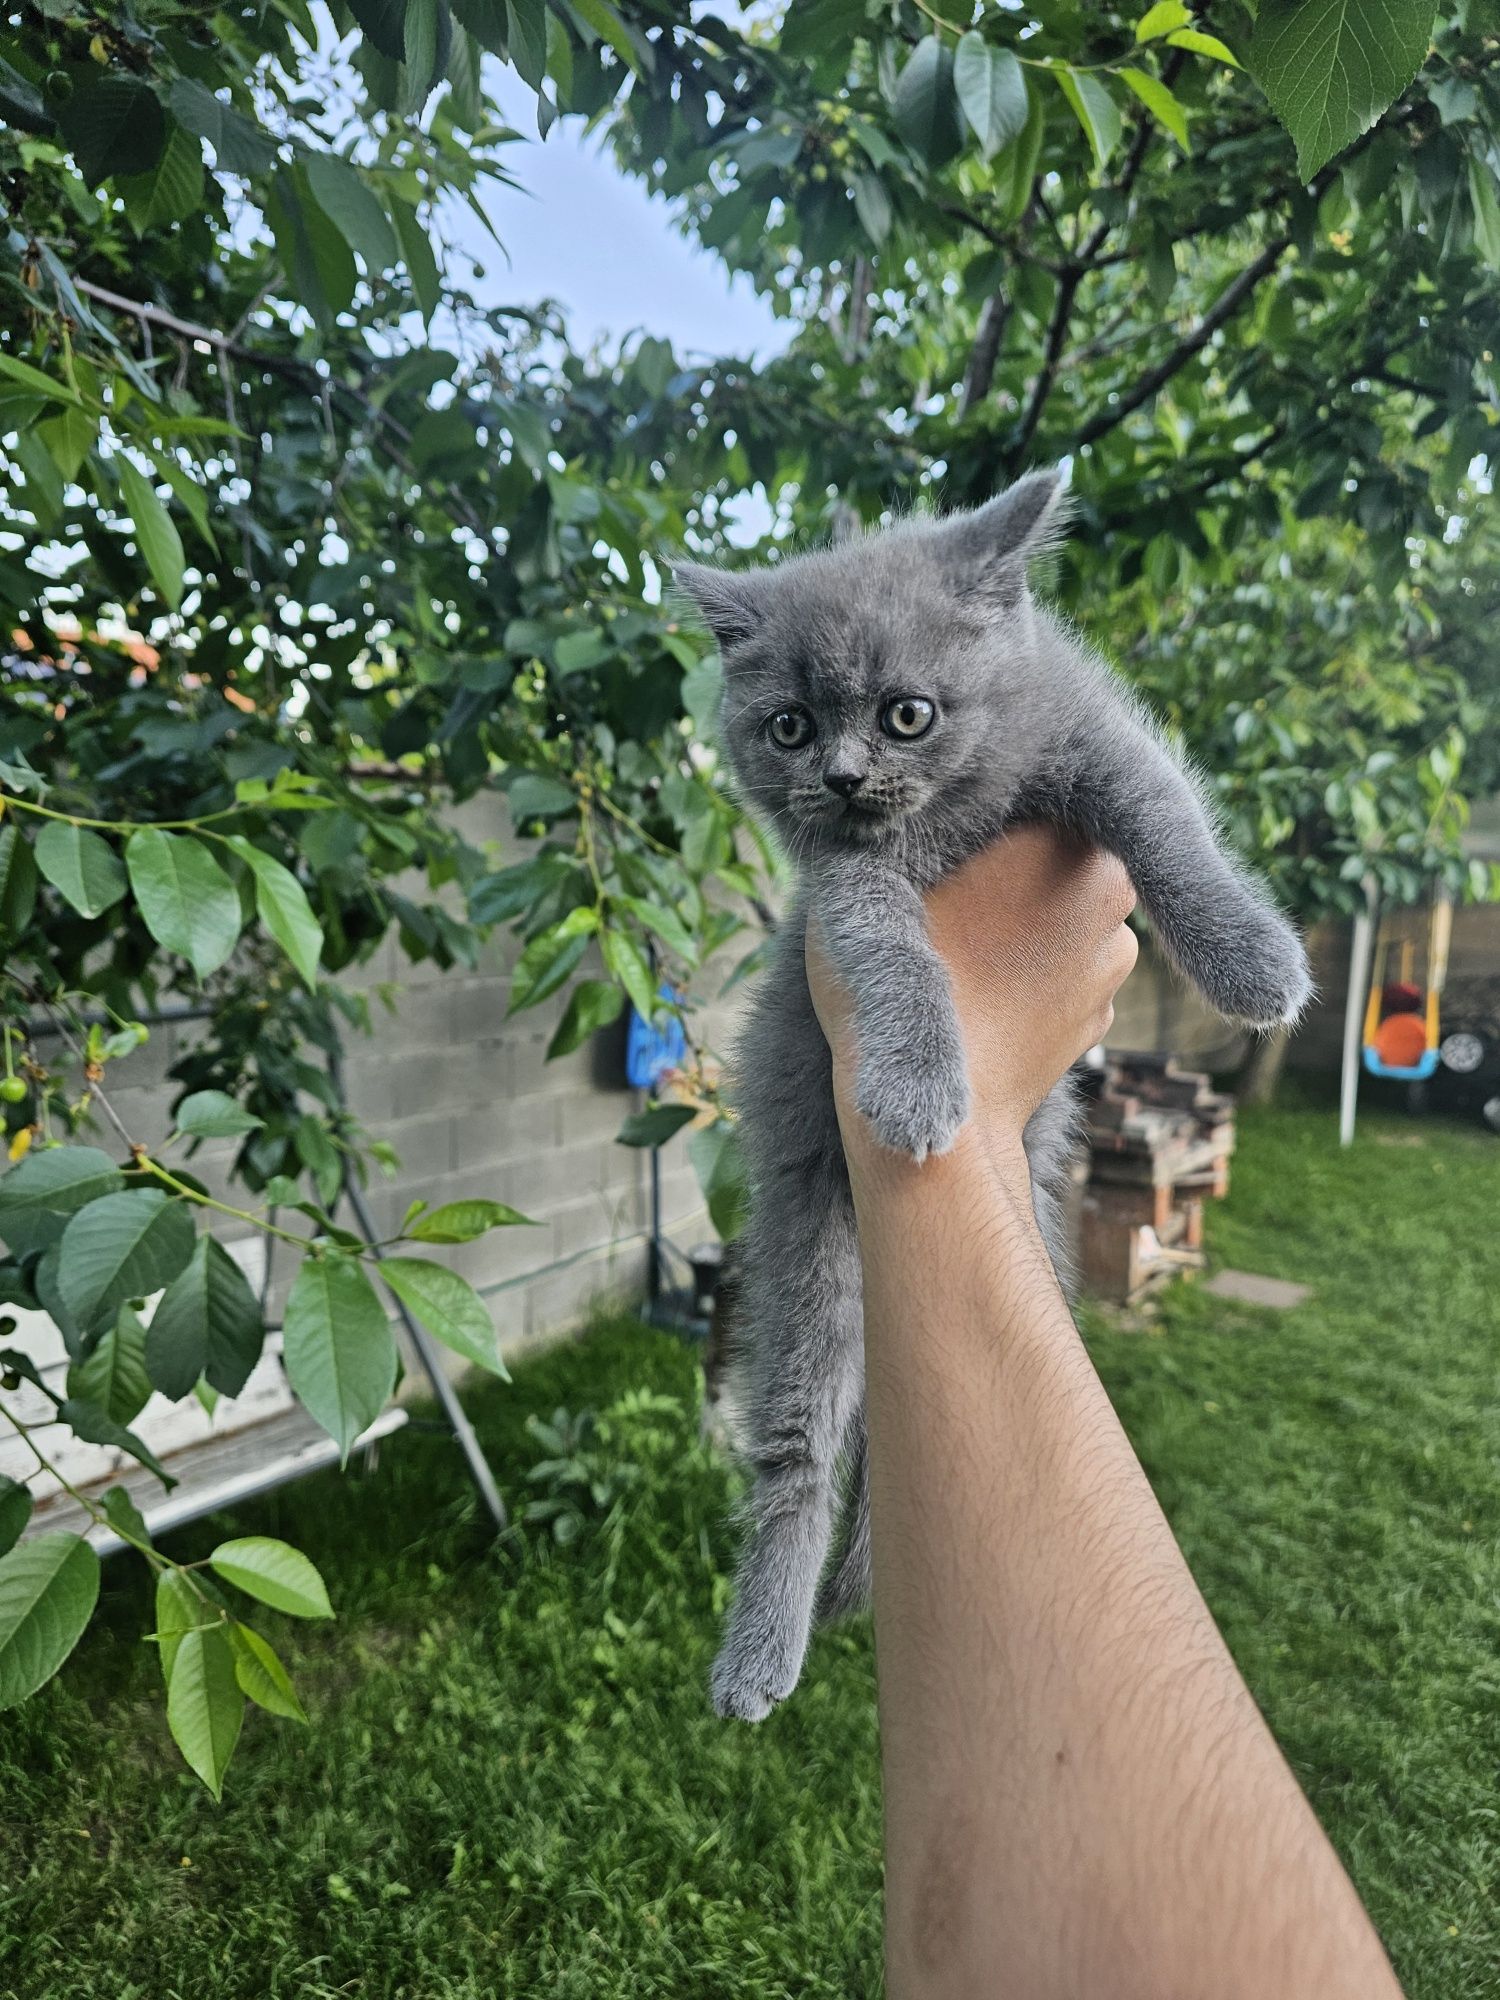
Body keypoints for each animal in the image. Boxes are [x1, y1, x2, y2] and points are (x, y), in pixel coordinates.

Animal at [676, 472, 1312, 1720]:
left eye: (907, 713)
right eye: (789, 725)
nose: (841, 776)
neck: (943, 819)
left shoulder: (1095, 741)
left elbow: (1170, 827)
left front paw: (1254, 959)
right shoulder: (845, 883)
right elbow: (889, 948)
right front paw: (918, 1083)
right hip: (807, 1236)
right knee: (797, 1449)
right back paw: (759, 1652)